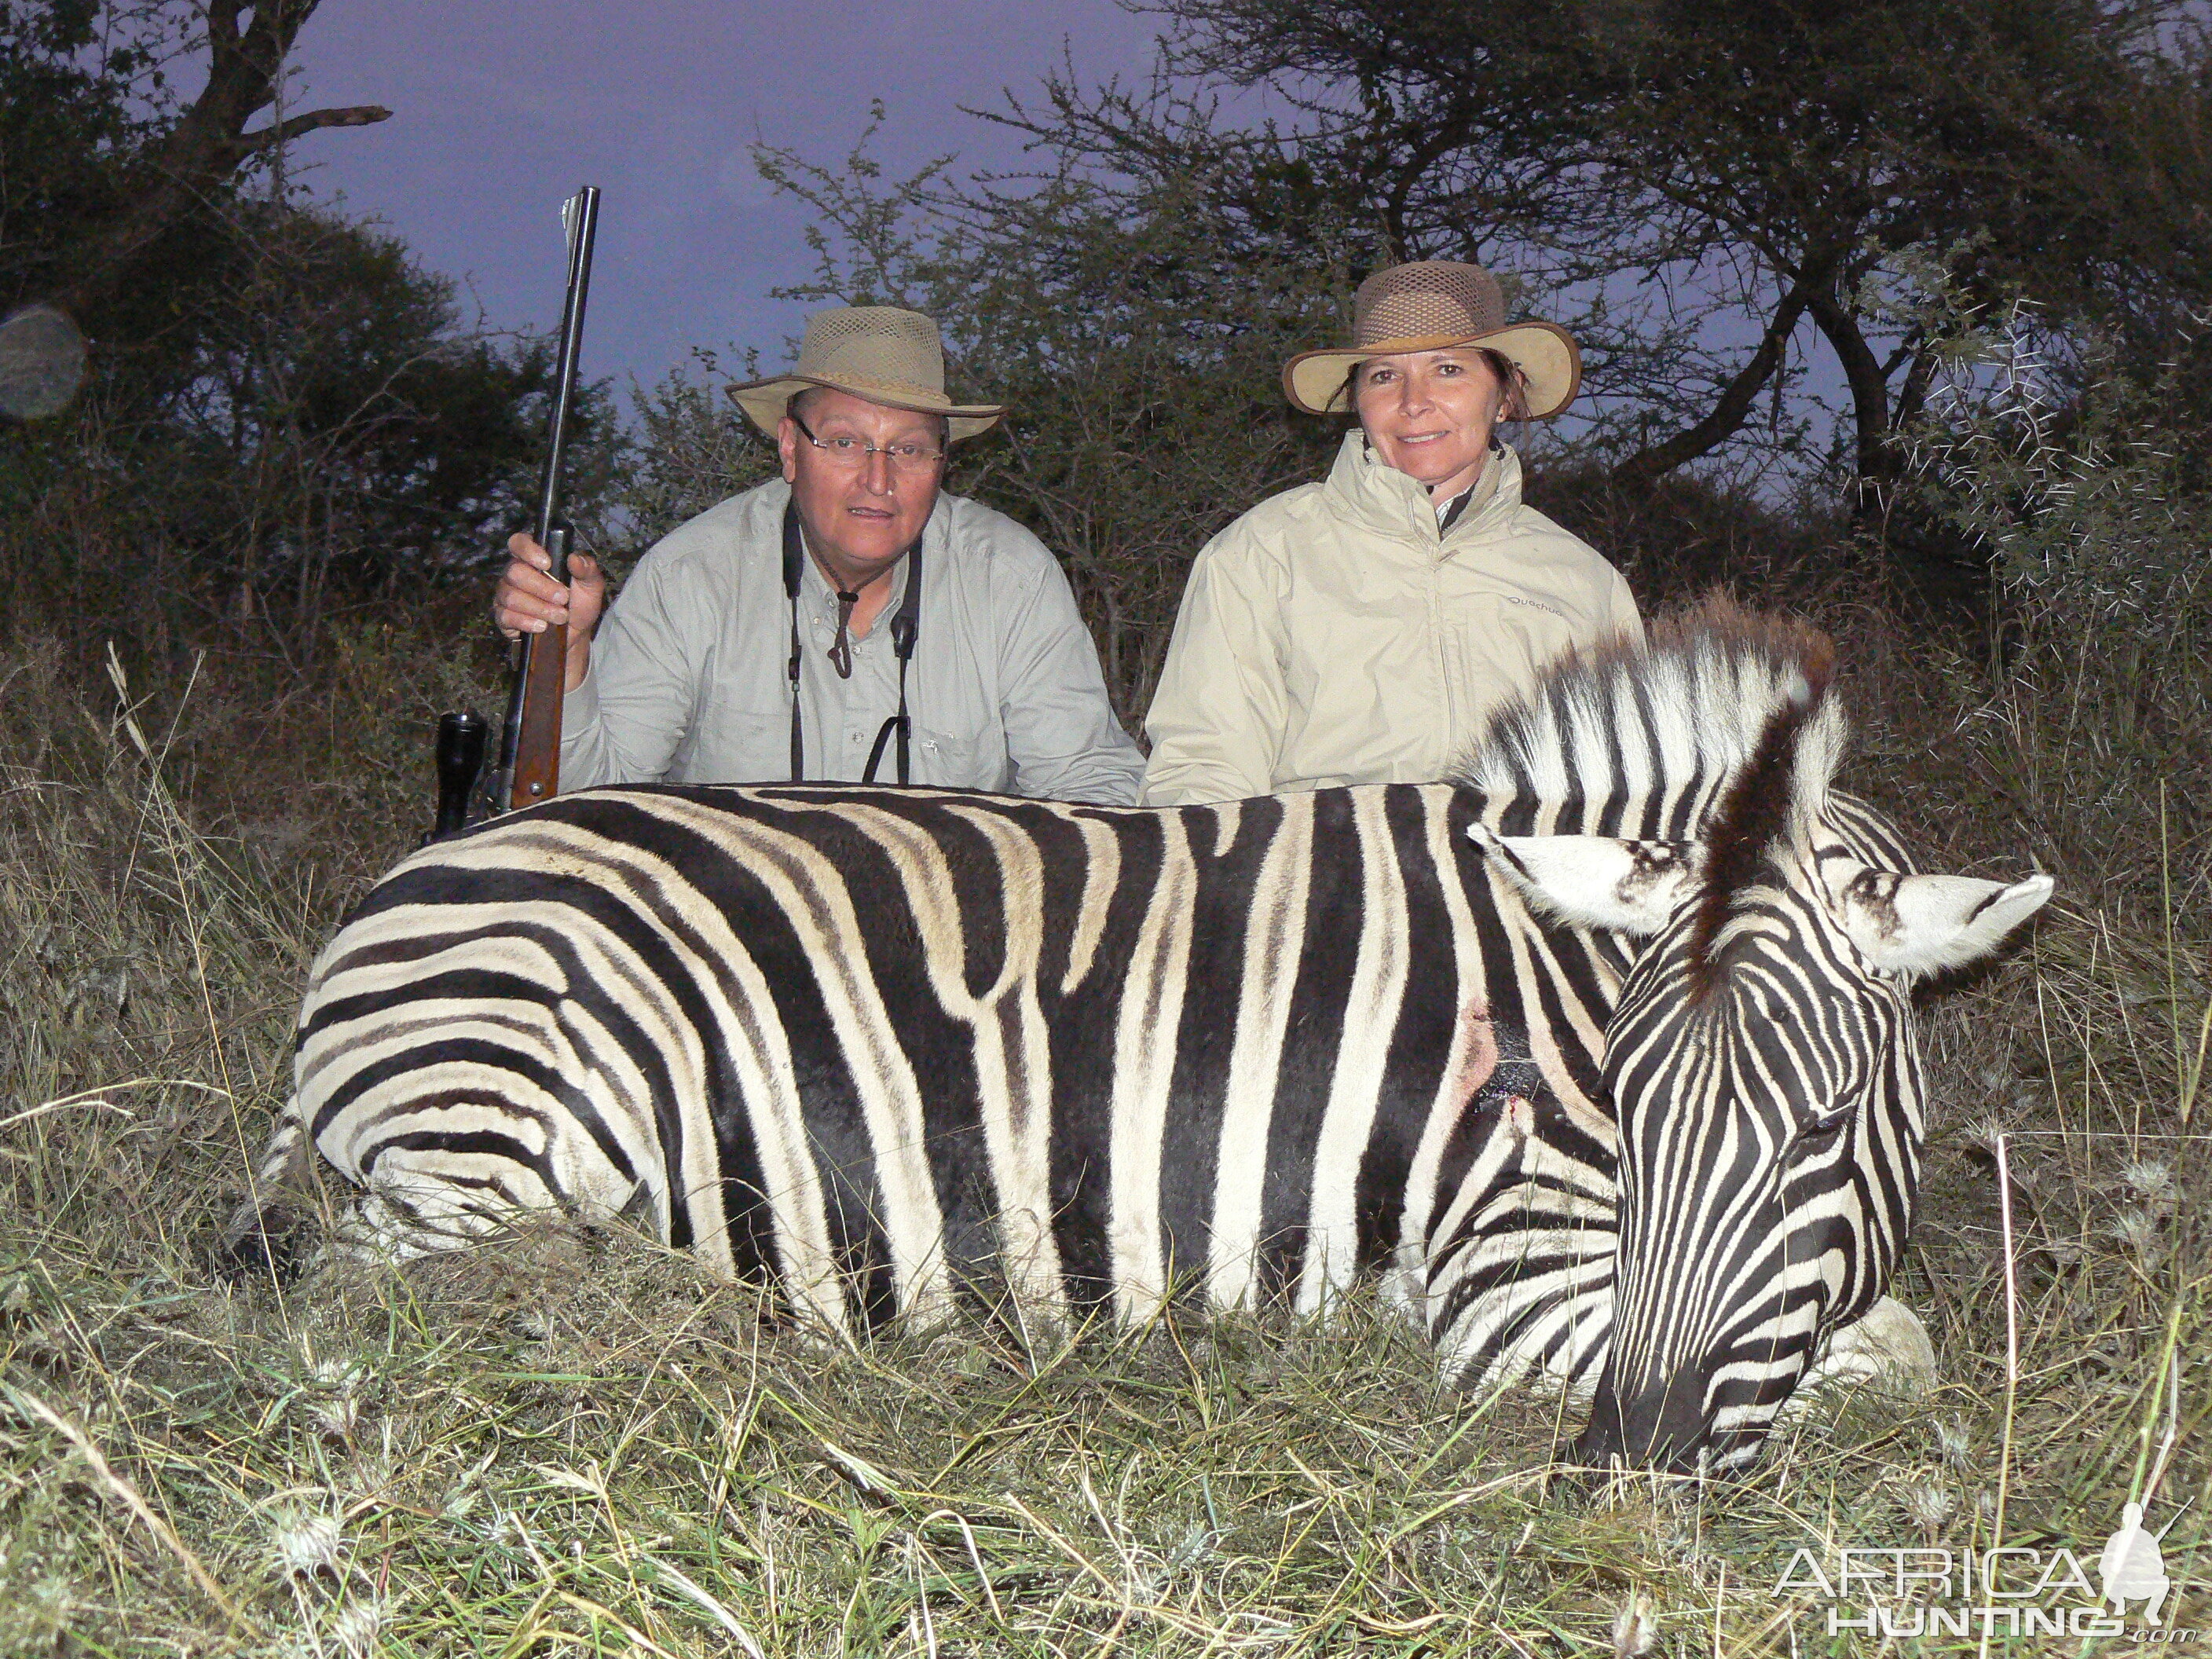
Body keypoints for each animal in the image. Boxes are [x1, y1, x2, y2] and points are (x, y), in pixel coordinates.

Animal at [224, 606, 2034, 1478]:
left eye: (1821, 1133)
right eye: (1628, 1114)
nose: (1626, 1470)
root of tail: (399, 889)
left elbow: (1886, 1342)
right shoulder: (1510, 1288)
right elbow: (1900, 1360)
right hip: (501, 1143)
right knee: (419, 1289)